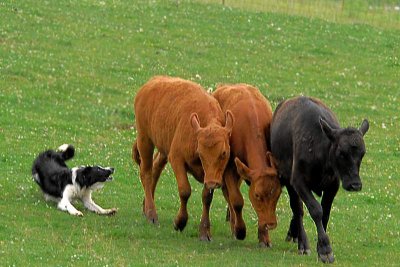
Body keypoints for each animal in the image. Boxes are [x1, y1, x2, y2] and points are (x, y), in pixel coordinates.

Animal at [133, 75, 233, 241]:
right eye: (200, 153)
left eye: (223, 153)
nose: (213, 183)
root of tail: (151, 83)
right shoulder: (176, 159)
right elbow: (185, 190)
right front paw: (180, 222)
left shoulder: (210, 174)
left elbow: (206, 197)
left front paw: (204, 232)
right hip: (145, 139)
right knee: (146, 173)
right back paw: (151, 213)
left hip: (163, 149)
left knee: (155, 169)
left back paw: (145, 206)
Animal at [212, 85, 282, 248]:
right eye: (257, 195)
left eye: (278, 194)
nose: (271, 224)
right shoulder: (230, 168)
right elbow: (236, 200)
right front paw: (239, 230)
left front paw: (264, 237)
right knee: (229, 195)